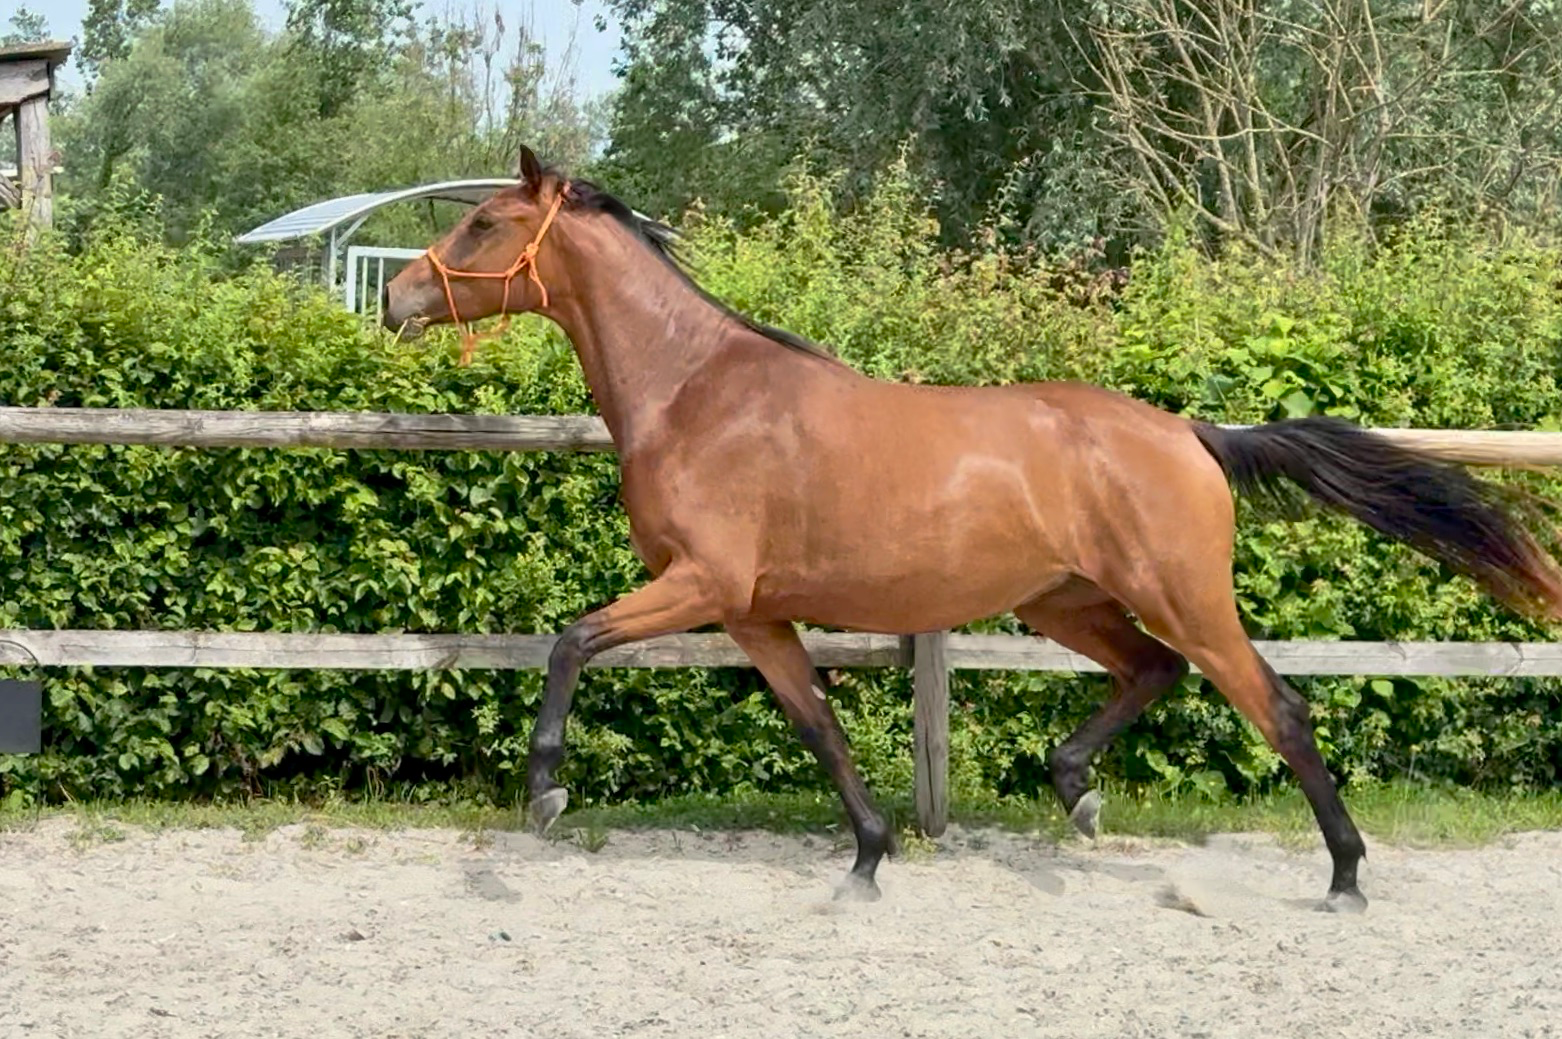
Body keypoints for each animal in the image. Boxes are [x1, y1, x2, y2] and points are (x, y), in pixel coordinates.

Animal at [381, 146, 1562, 910]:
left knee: (1275, 706)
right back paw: (1076, 792)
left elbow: (570, 640)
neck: (696, 391)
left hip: (1180, 594)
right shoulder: (753, 614)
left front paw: (544, 788)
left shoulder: (701, 584)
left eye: (481, 223)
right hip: (1066, 602)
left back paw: (1346, 874)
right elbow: (818, 724)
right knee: (1152, 672)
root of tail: (1191, 433)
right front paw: (866, 859)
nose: (396, 298)